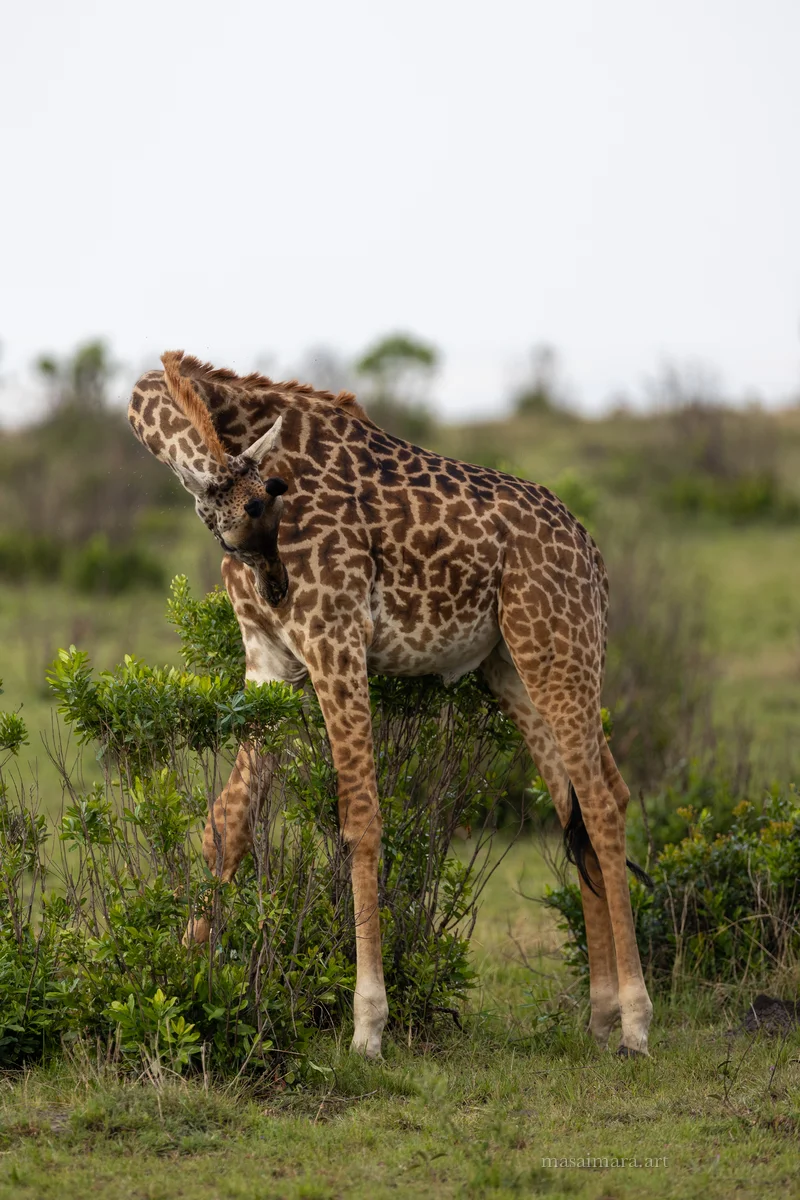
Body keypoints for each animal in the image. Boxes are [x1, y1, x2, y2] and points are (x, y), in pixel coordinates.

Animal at [128, 349, 653, 1060]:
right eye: (241, 527)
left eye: (274, 504)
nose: (278, 589)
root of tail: (593, 557)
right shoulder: (269, 665)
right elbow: (227, 824)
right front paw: (177, 982)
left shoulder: (335, 641)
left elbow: (361, 821)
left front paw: (368, 1026)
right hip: (515, 669)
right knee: (590, 799)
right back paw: (599, 1018)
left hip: (559, 648)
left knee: (599, 803)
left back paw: (635, 1023)